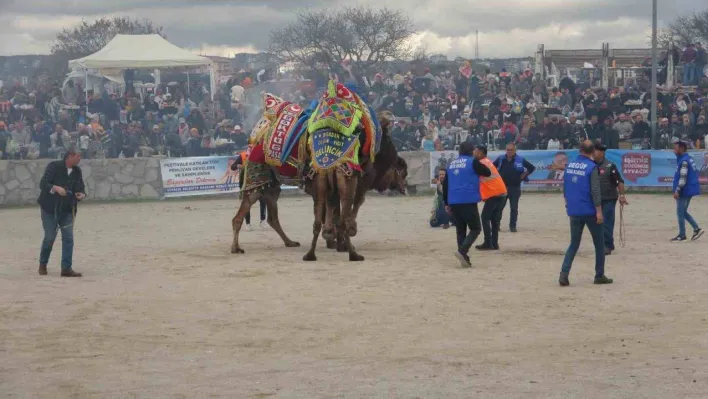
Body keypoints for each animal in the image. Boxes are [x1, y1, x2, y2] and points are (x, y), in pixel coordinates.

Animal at [231, 82, 406, 262]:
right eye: (403, 173)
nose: (403, 187)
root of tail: (252, 144)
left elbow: (333, 210)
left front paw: (334, 239)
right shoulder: (354, 181)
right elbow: (346, 209)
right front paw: (342, 239)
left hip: (272, 185)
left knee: (271, 216)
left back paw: (289, 242)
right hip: (258, 177)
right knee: (242, 213)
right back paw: (237, 247)